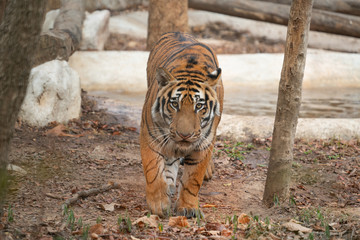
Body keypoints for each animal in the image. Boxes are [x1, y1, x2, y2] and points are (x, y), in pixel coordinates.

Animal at [140, 31, 222, 218]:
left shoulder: (203, 144)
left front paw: (188, 207)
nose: (184, 135)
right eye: (174, 104)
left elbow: (193, 180)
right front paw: (159, 205)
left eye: (199, 106)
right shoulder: (150, 136)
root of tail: (178, 32)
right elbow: (153, 171)